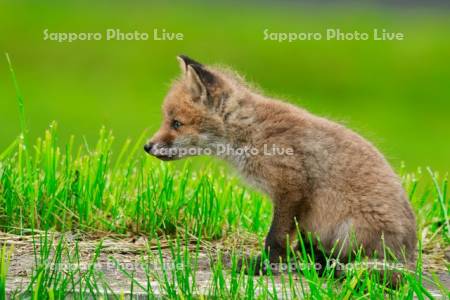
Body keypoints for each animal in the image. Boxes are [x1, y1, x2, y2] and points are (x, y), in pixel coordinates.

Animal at [144, 55, 414, 280]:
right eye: (169, 121)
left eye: (176, 123)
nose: (147, 146)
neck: (250, 133)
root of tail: (409, 258)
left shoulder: (290, 188)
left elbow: (274, 237)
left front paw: (263, 266)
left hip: (348, 230)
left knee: (344, 262)